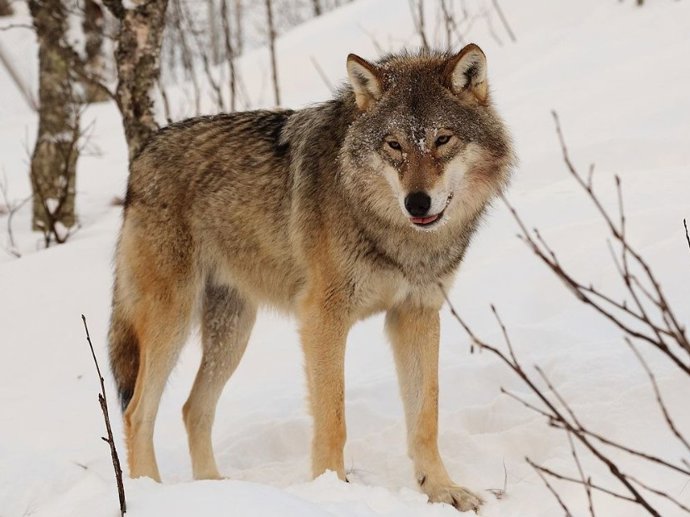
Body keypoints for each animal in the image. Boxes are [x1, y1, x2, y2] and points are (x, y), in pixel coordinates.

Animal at [108, 43, 514, 512]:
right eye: (393, 145)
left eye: (442, 140)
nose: (417, 202)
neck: (393, 233)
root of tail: (142, 154)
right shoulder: (323, 318)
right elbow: (333, 418)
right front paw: (333, 490)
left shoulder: (416, 314)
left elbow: (425, 417)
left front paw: (442, 490)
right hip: (171, 322)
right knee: (137, 412)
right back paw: (150, 494)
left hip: (233, 333)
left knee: (193, 409)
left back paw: (218, 490)